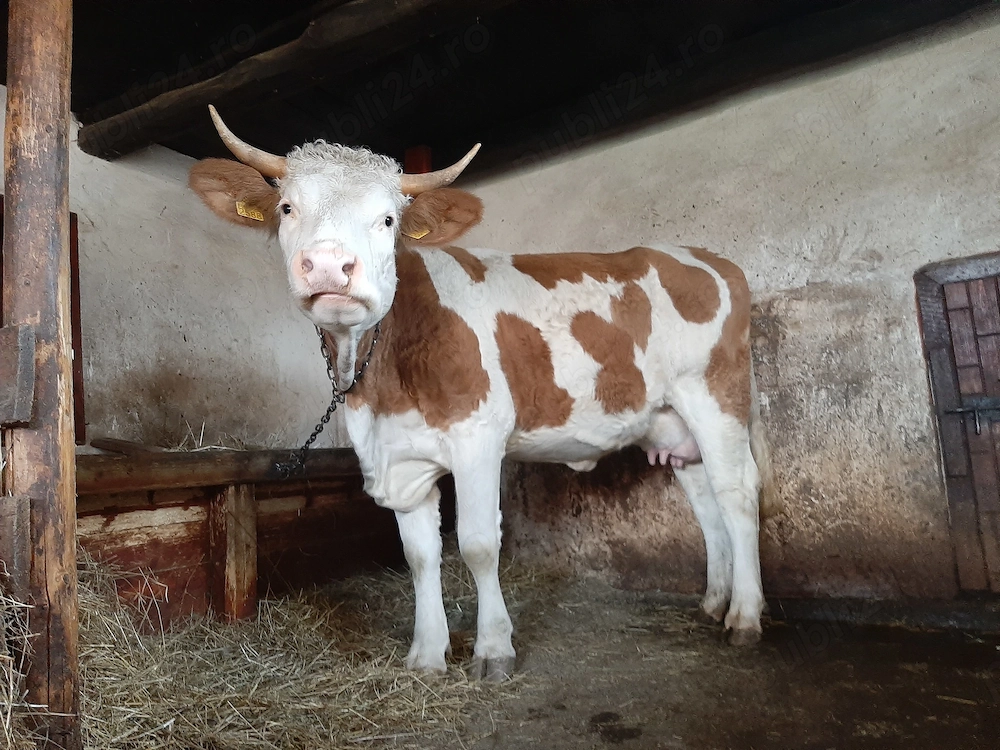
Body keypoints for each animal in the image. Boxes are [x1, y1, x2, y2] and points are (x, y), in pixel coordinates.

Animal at [189, 106, 774, 681]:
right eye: (288, 208)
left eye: (388, 220)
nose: (330, 265)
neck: (380, 382)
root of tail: (707, 258)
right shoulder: (400, 455)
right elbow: (420, 556)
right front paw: (428, 654)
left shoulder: (478, 437)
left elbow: (476, 544)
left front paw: (493, 648)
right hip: (671, 421)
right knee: (704, 498)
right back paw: (715, 601)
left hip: (715, 397)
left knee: (737, 492)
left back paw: (744, 616)